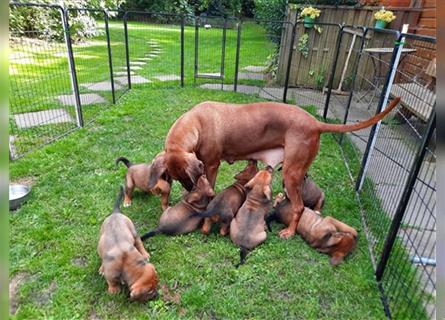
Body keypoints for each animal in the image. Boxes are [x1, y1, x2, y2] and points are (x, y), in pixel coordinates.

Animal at [146, 99, 398, 239]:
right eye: (177, 178)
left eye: (186, 178)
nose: (188, 191)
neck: (196, 123)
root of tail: (315, 123)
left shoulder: (211, 165)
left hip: (291, 173)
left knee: (298, 207)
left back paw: (290, 232)